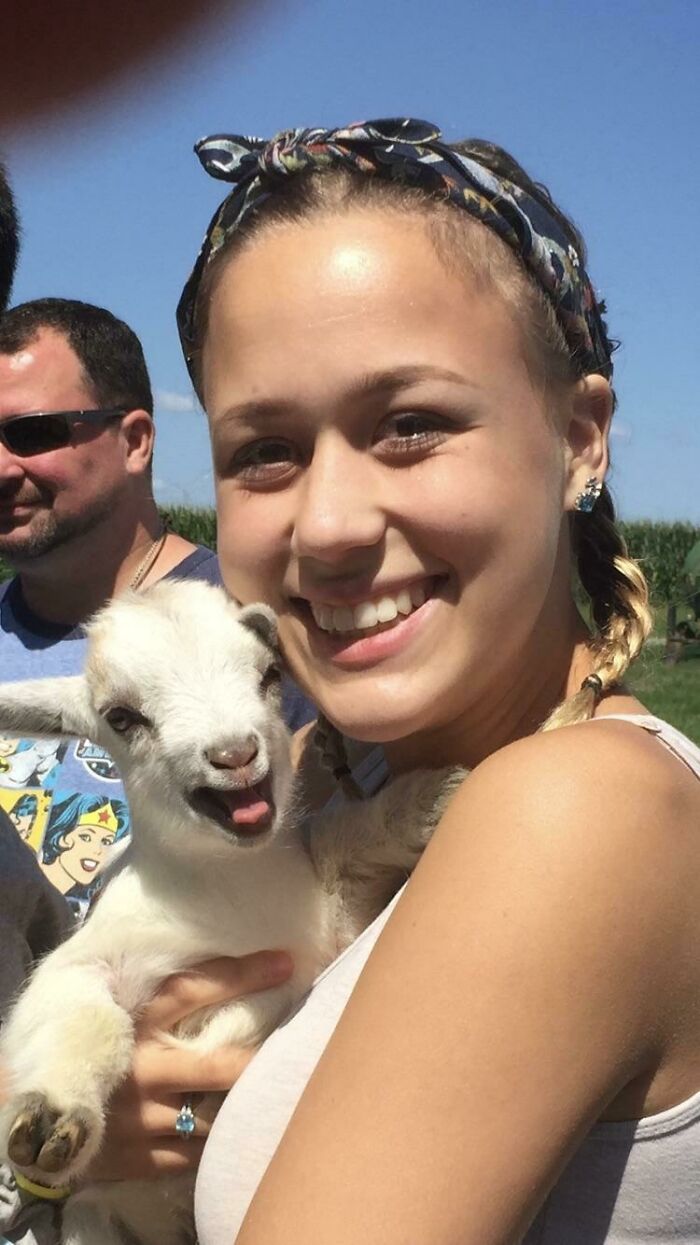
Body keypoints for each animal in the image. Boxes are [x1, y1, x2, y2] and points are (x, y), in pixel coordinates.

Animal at [0, 580, 463, 1245]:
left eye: (269, 675)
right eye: (121, 717)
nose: (235, 754)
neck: (229, 897)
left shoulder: (329, 924)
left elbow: (349, 840)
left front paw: (433, 796)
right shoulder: (90, 960)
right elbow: (85, 1015)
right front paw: (49, 1123)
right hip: (96, 1218)